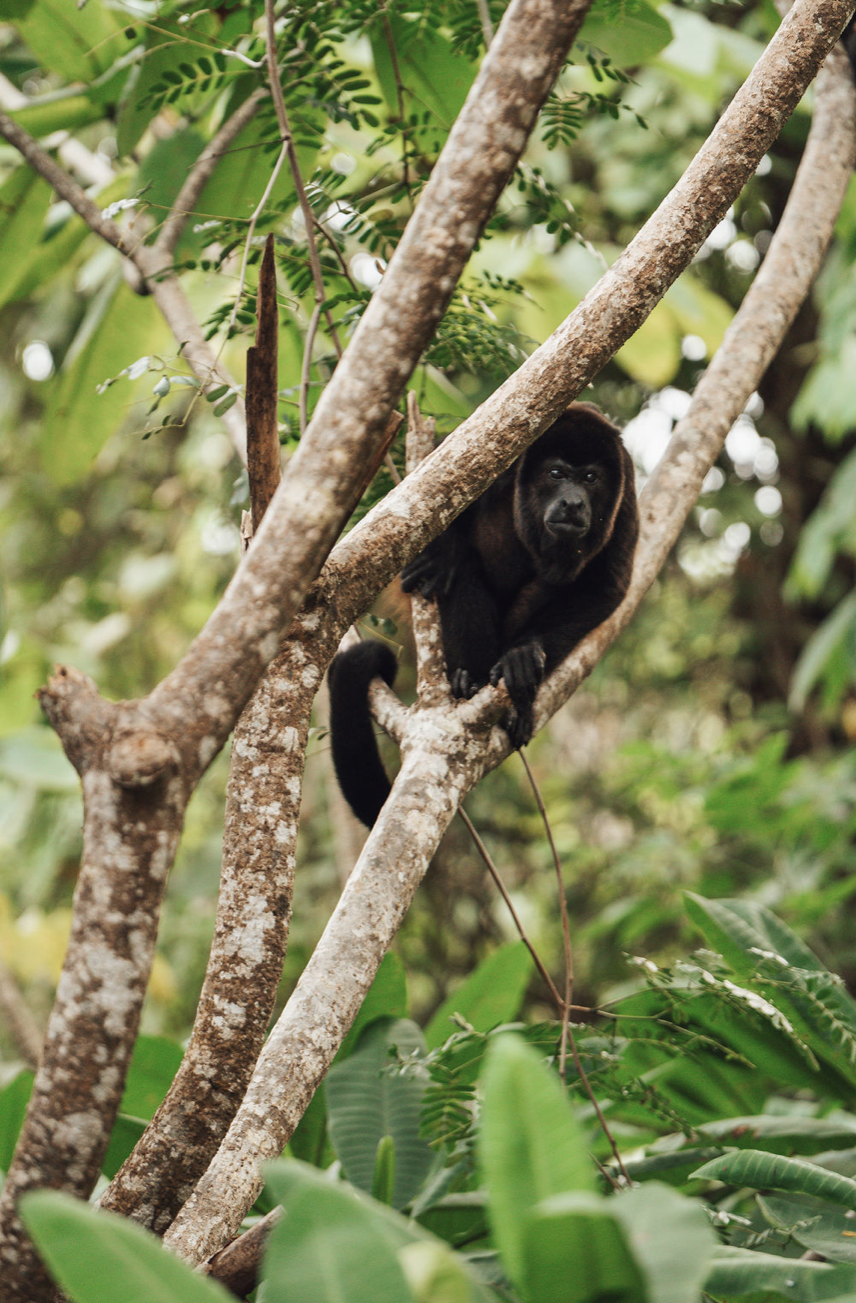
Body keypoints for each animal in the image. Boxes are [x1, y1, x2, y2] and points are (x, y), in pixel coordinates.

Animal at [328, 403, 639, 827]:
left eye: (591, 478)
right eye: (556, 474)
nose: (573, 502)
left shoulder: (626, 491)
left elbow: (606, 587)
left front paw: (522, 658)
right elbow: (433, 484)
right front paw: (445, 551)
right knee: (463, 572)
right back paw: (467, 678)